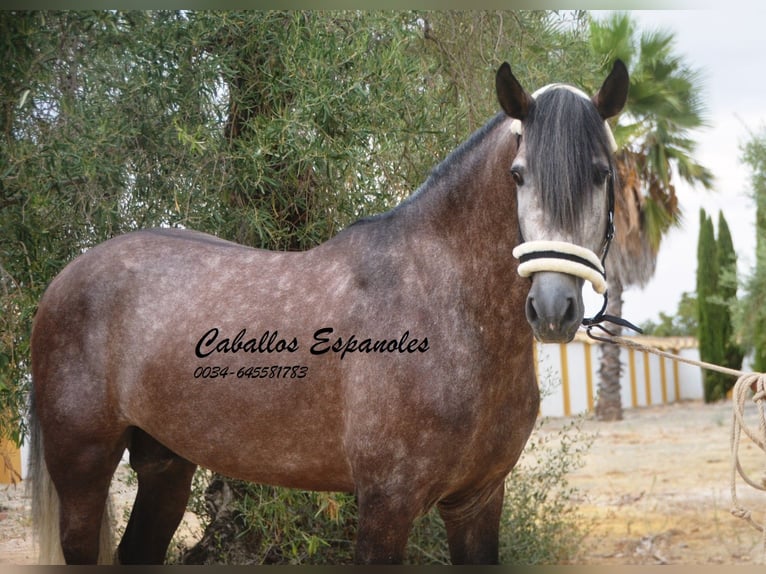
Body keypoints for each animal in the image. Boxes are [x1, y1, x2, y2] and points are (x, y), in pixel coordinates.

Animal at [28, 59, 632, 568]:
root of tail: (67, 277)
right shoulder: (387, 504)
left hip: (164, 464)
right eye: (518, 175)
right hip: (82, 465)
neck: (446, 310)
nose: (553, 308)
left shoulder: (476, 501)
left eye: (603, 174)